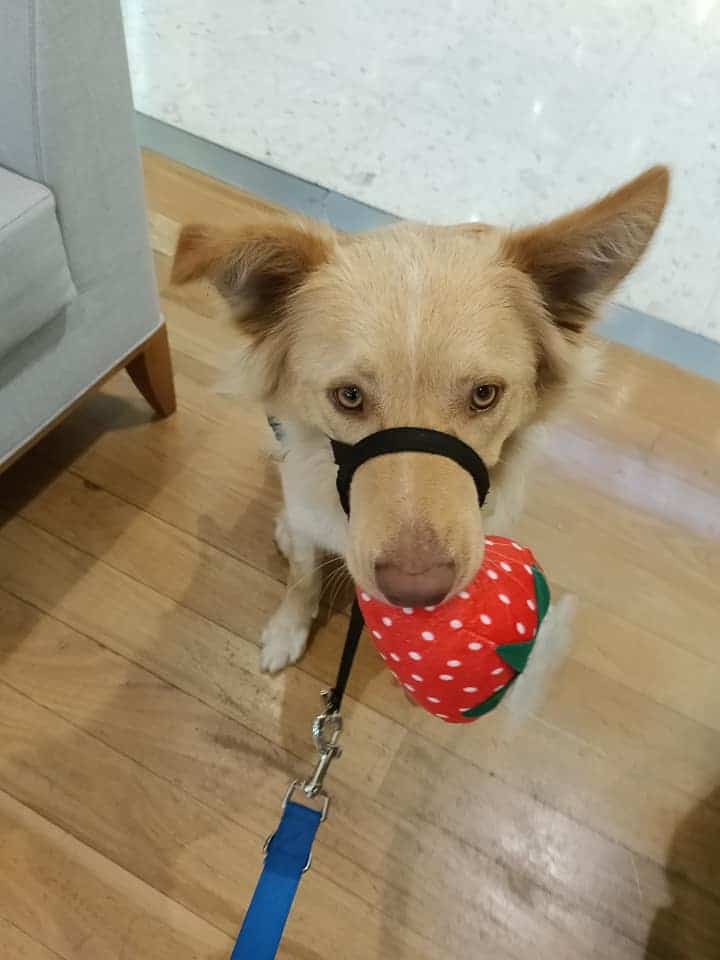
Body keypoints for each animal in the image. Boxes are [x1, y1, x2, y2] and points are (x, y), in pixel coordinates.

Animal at [170, 165, 668, 676]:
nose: (416, 589)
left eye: (484, 394)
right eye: (349, 396)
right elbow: (302, 579)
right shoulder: (307, 513)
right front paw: (287, 631)